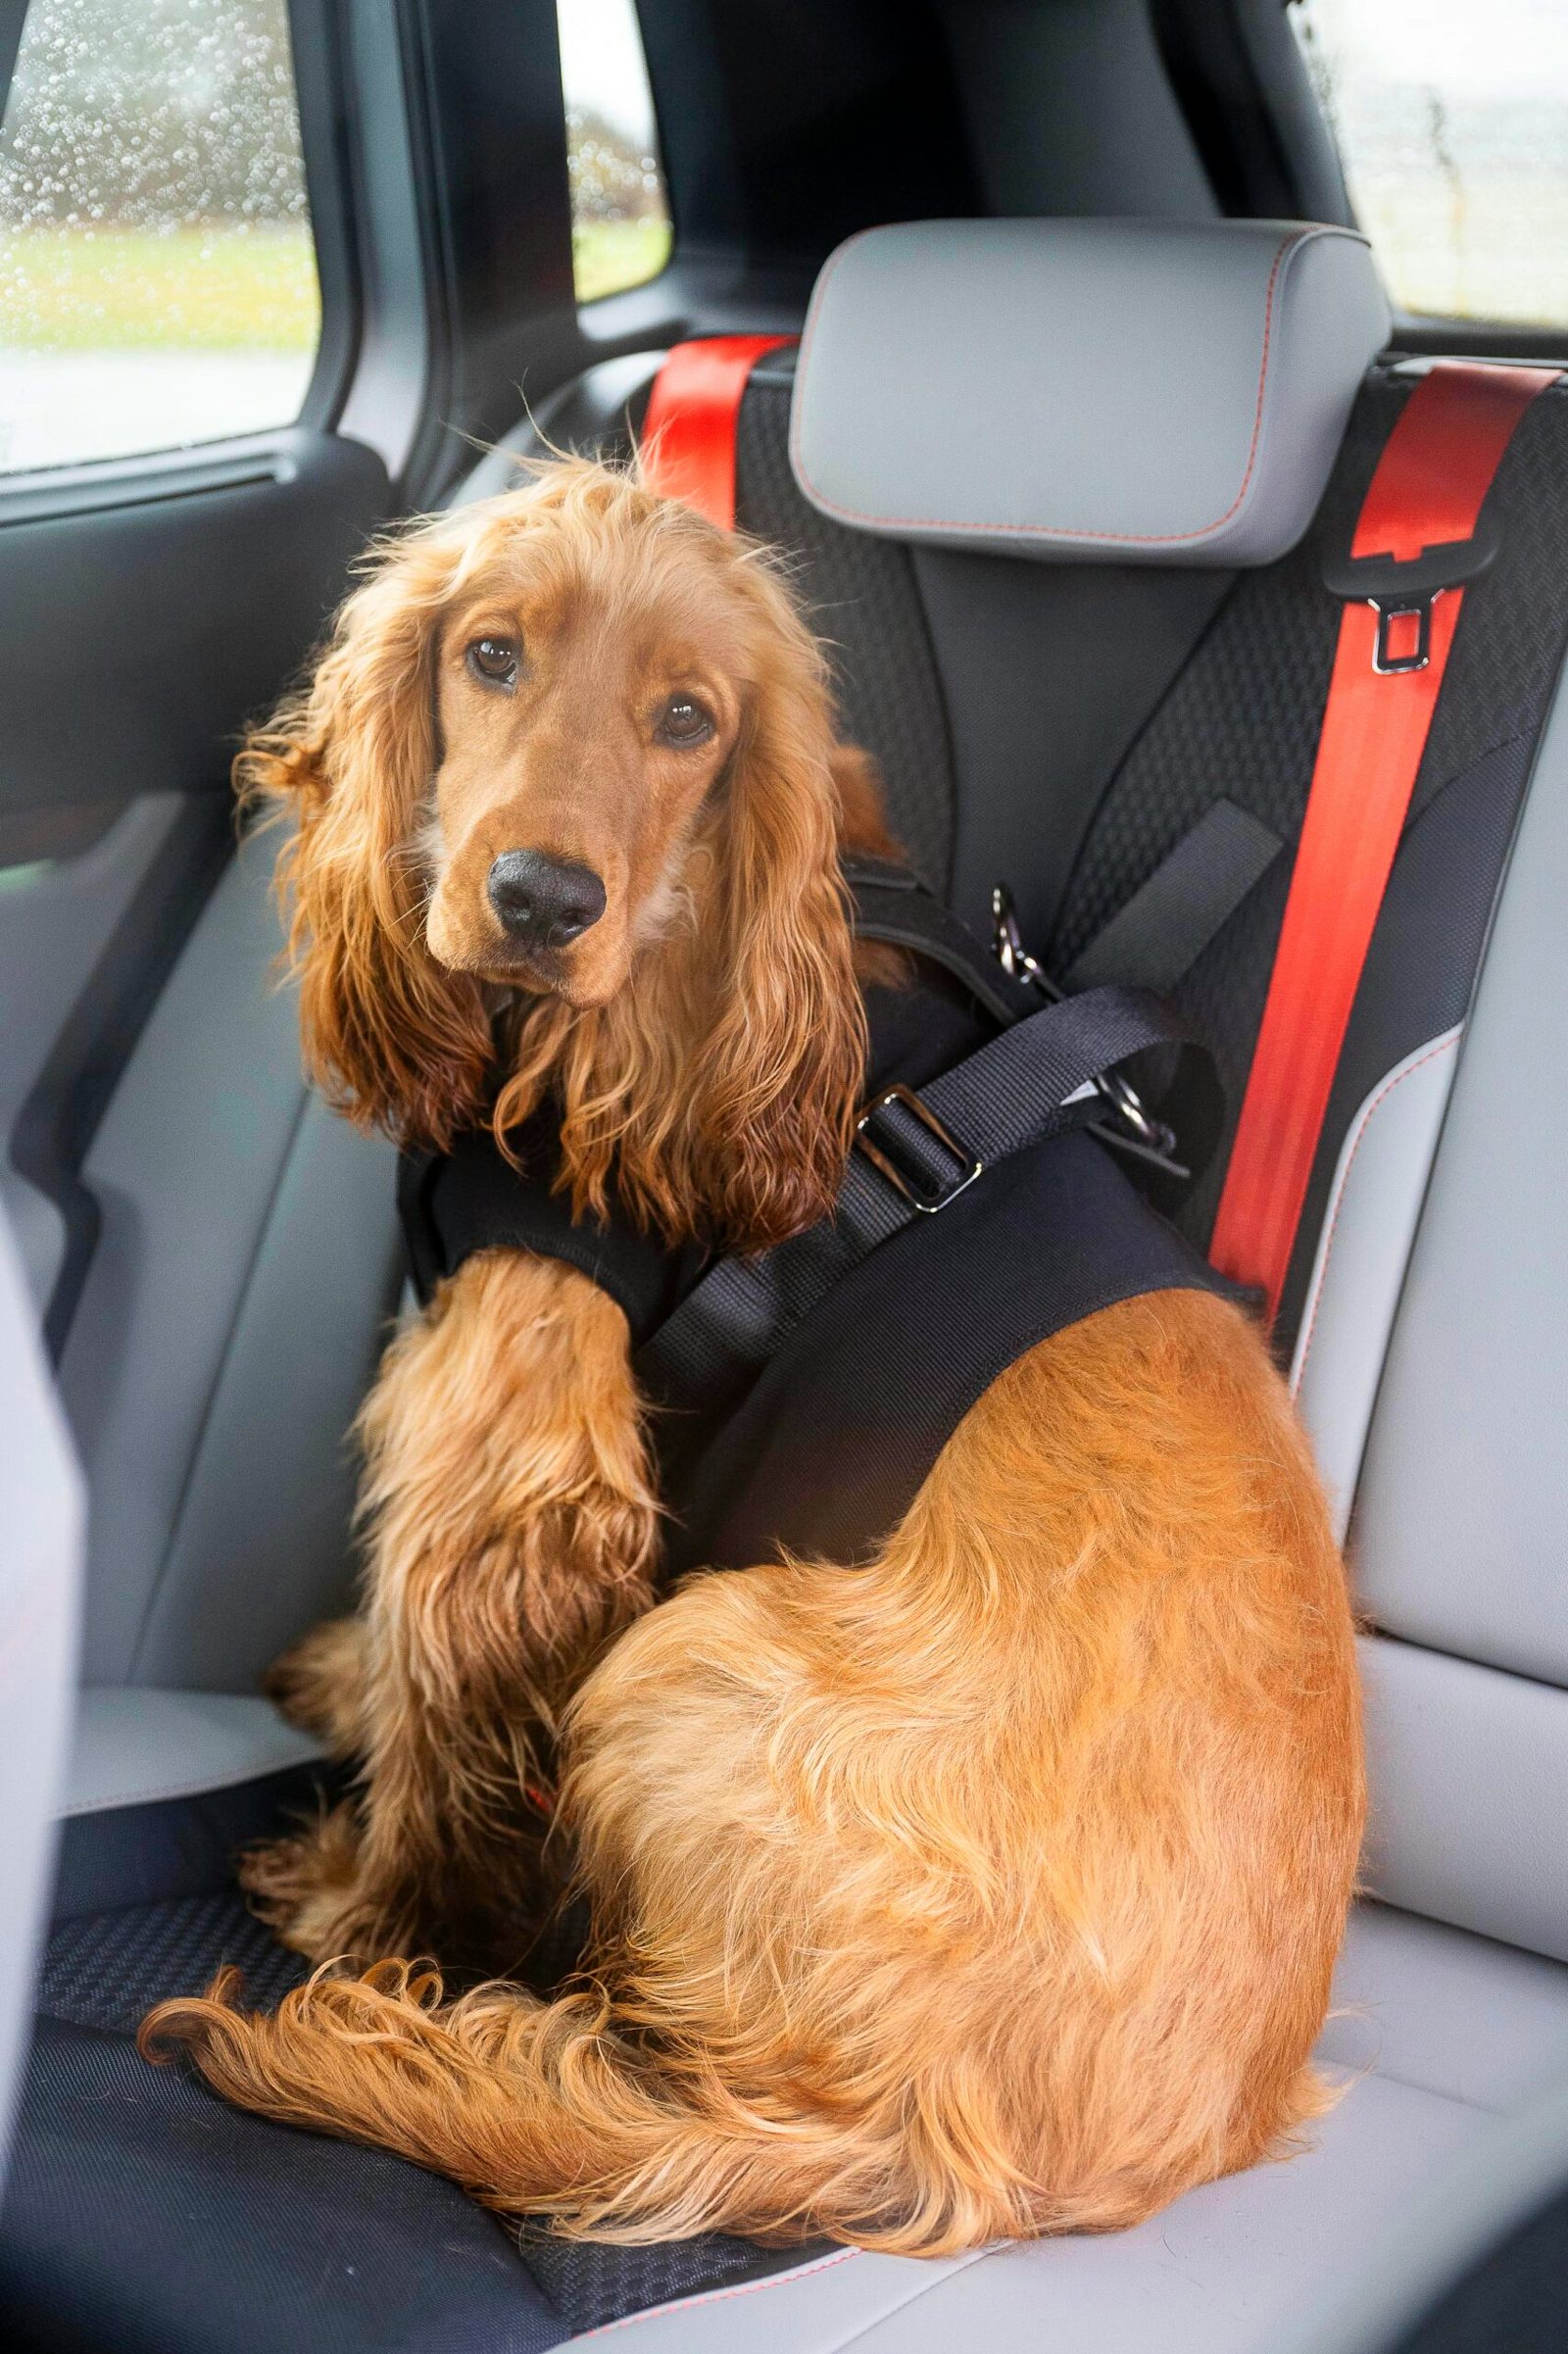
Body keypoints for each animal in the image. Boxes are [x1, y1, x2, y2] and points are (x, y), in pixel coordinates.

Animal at [149, 464, 1365, 2259]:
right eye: (492, 654)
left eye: (687, 720)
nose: (541, 904)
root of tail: (961, 2156)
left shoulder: (518, 1448)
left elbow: (440, 1690)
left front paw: (366, 1908)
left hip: (684, 1655)